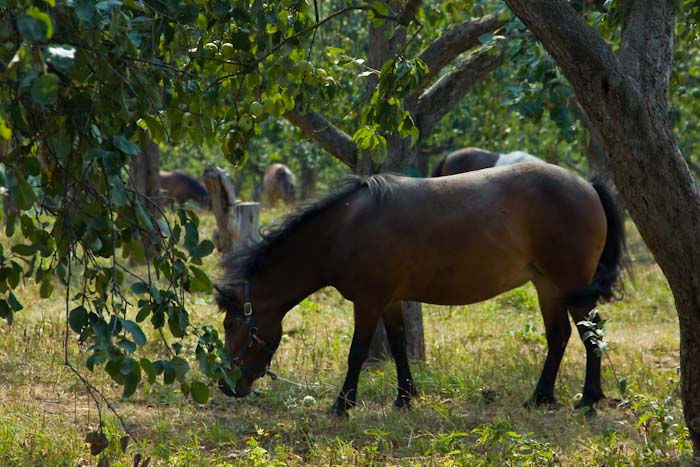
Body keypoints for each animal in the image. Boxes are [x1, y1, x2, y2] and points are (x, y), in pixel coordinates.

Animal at [216, 164, 628, 416]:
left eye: (231, 325)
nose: (225, 386)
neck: (345, 228)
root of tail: (588, 185)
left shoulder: (368, 302)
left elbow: (357, 353)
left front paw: (342, 405)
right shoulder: (390, 301)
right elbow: (399, 346)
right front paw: (404, 397)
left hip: (570, 285)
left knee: (591, 334)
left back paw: (589, 398)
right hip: (547, 286)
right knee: (559, 337)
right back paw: (540, 397)